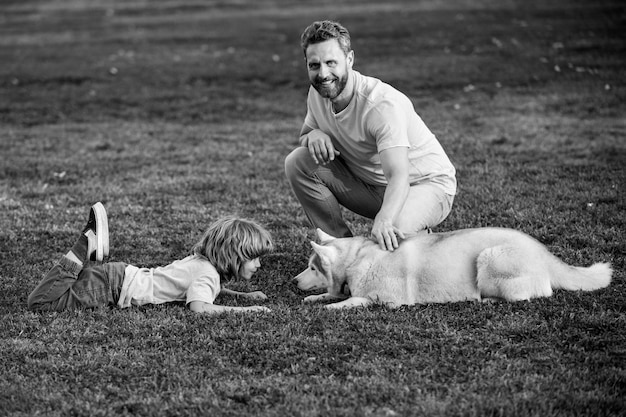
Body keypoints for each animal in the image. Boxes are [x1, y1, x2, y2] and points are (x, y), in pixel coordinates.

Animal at [294, 226, 612, 308]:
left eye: (312, 267)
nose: (294, 281)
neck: (357, 259)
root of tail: (543, 251)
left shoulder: (387, 301)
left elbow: (351, 301)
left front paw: (330, 307)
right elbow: (332, 294)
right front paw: (316, 297)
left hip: (489, 258)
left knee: (527, 296)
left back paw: (486, 300)